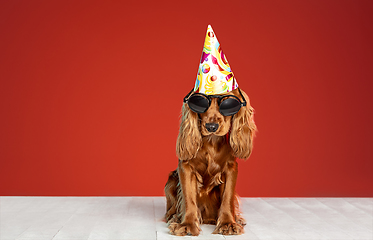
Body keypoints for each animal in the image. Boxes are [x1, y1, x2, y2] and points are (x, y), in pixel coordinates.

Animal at [165, 87, 256, 235]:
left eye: (228, 102)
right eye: (199, 101)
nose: (211, 126)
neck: (211, 142)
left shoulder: (230, 168)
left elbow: (227, 197)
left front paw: (228, 223)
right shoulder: (186, 167)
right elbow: (188, 197)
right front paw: (187, 224)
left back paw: (237, 218)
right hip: (171, 180)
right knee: (171, 209)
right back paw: (174, 217)